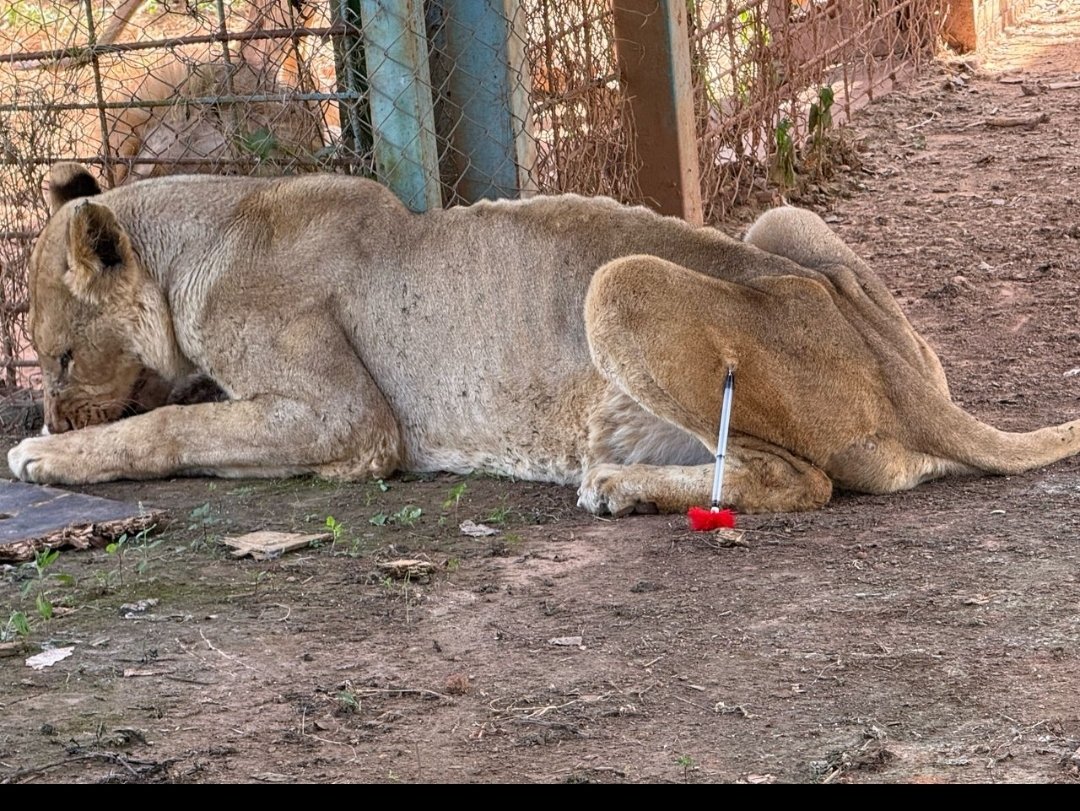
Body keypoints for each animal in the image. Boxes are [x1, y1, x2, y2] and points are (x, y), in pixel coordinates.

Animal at [7, 162, 1080, 516]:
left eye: (60, 356)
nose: (47, 409)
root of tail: (907, 381)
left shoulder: (348, 422)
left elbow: (171, 430)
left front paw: (44, 454)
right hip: (791, 226)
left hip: (619, 283)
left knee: (804, 481)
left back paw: (621, 486)